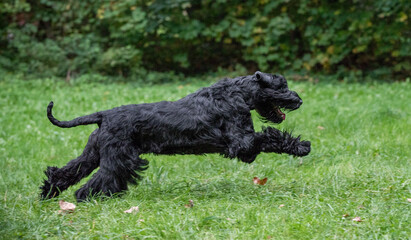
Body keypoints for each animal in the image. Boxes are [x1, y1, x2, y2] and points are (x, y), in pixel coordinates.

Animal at [42, 71, 312, 201]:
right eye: (282, 86)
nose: (299, 100)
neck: (238, 92)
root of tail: (103, 115)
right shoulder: (242, 144)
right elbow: (270, 137)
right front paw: (302, 146)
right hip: (118, 159)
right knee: (96, 181)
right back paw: (87, 199)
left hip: (94, 153)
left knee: (65, 172)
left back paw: (47, 194)